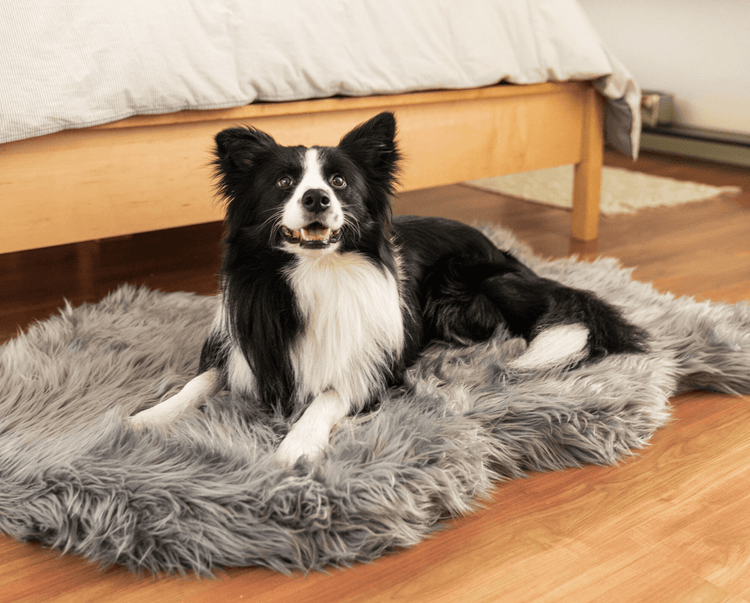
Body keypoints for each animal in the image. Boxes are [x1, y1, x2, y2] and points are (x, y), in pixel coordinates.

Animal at [132, 112, 648, 468]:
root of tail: (497, 247)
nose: (317, 198)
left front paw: (298, 444)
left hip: (467, 283)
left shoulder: (374, 364)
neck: (317, 272)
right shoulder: (244, 347)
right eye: (284, 181)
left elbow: (328, 395)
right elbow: (199, 381)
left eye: (339, 182)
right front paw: (147, 418)